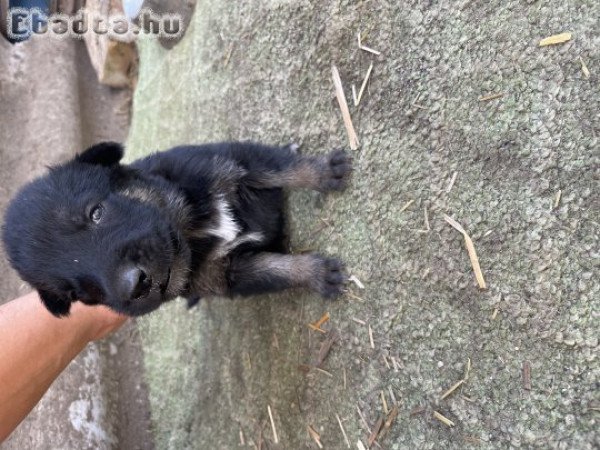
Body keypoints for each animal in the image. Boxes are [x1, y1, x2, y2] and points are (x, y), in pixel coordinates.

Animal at [1, 142, 352, 316]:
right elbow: (275, 270)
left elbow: (286, 169)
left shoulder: (234, 161)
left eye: (96, 213)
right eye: (79, 293)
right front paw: (317, 274)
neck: (192, 233)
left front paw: (324, 172)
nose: (134, 286)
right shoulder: (228, 274)